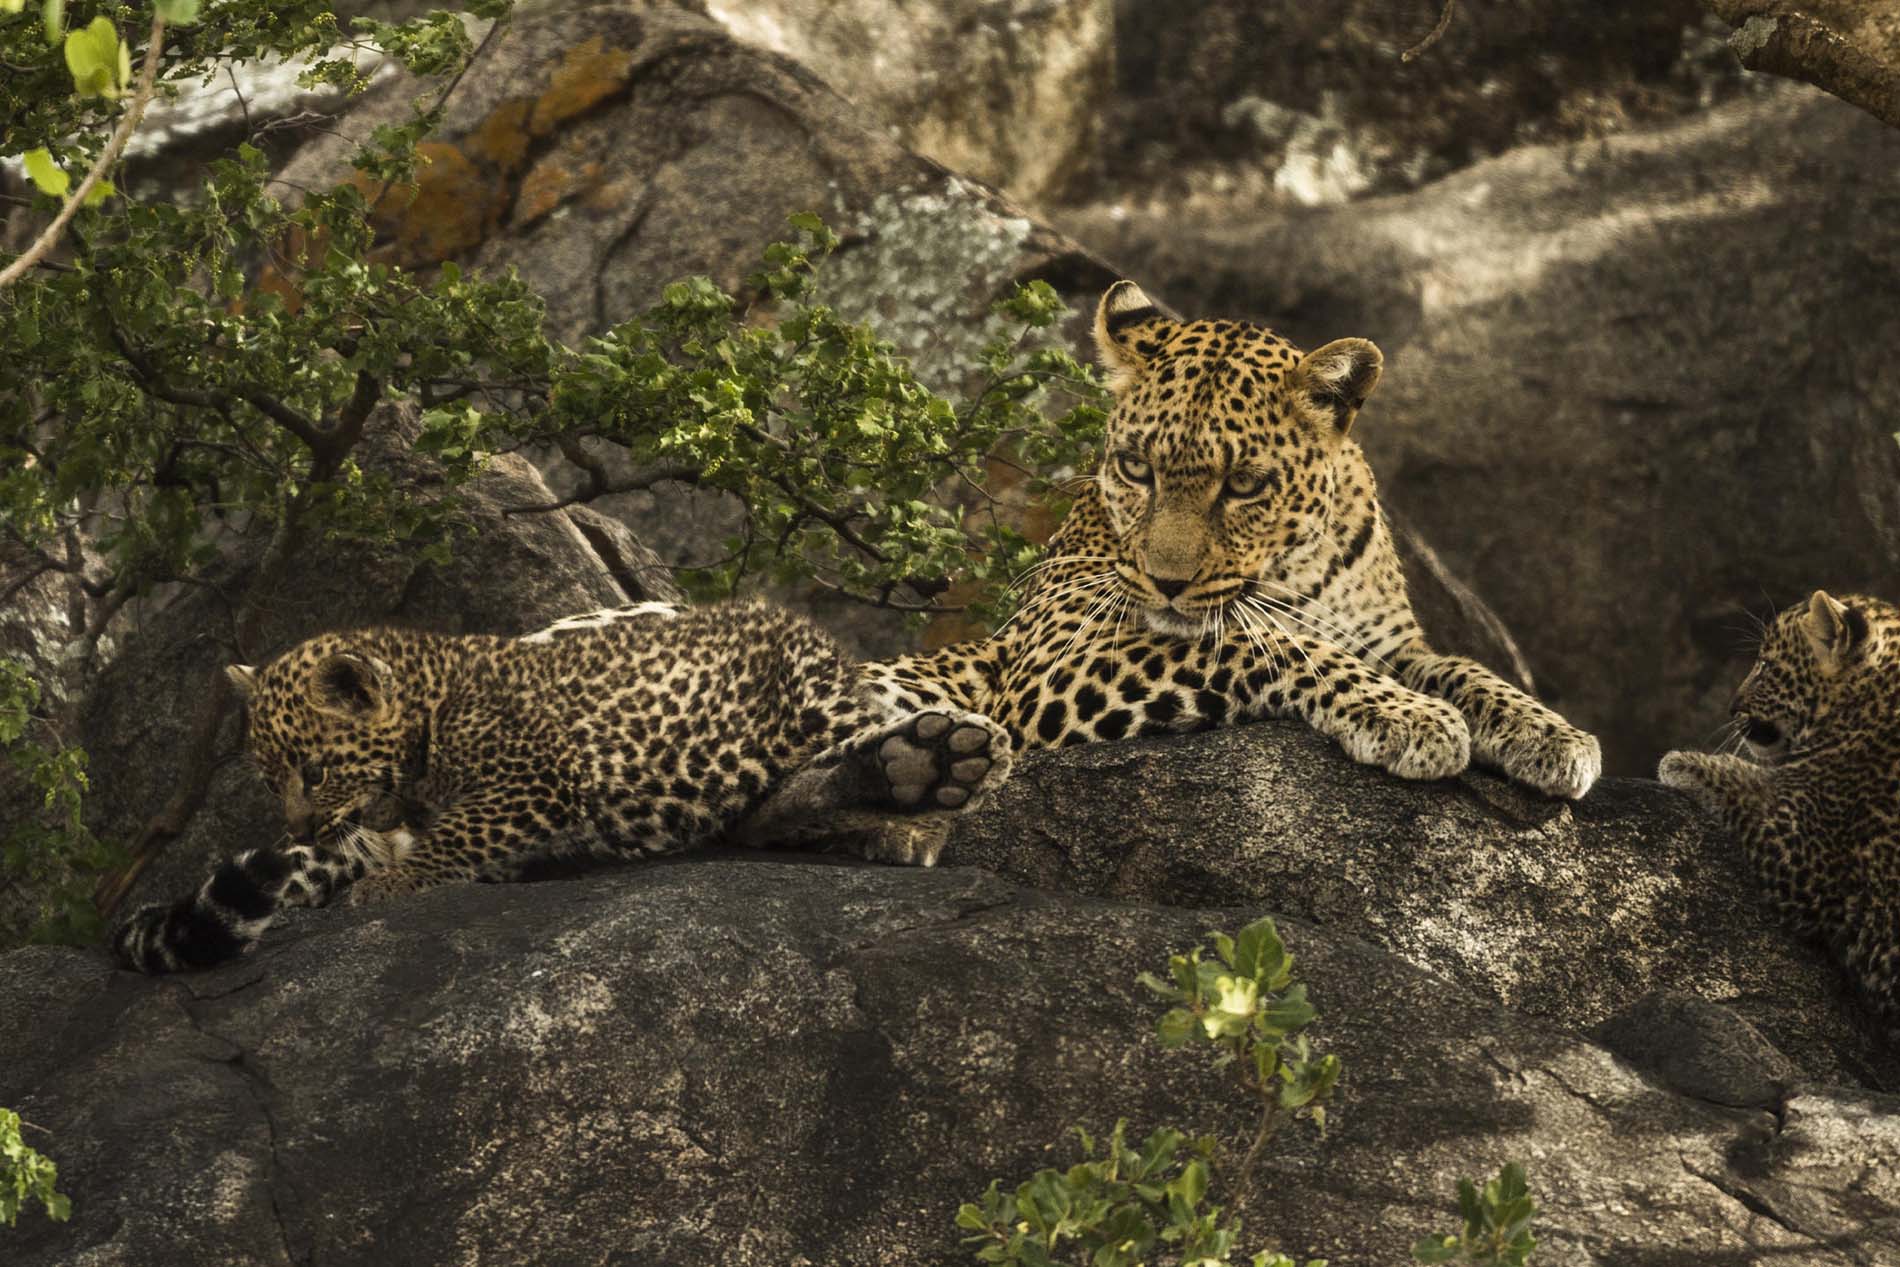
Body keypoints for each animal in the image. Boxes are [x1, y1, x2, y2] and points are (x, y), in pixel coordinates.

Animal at [111, 598, 1012, 973]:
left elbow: (459, 832)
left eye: (315, 768)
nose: (299, 829)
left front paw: (393, 882)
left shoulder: (534, 781)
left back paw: (920, 785)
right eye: (272, 778)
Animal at [866, 281, 1601, 810]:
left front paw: (1552, 733)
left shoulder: (1392, 644)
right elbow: (1269, 643)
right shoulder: (1055, 654)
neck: (1296, 564)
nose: (1166, 582)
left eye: (1244, 484)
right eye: (1136, 469)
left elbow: (1466, 670)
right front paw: (1411, 716)